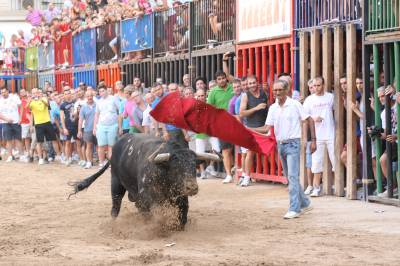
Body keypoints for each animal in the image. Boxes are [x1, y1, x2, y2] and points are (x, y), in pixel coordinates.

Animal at [69, 134, 219, 230]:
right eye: (176, 167)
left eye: (194, 166)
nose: (192, 187)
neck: (163, 171)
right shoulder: (147, 199)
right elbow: (153, 214)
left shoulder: (180, 198)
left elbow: (183, 216)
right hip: (116, 182)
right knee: (115, 207)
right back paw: (113, 224)